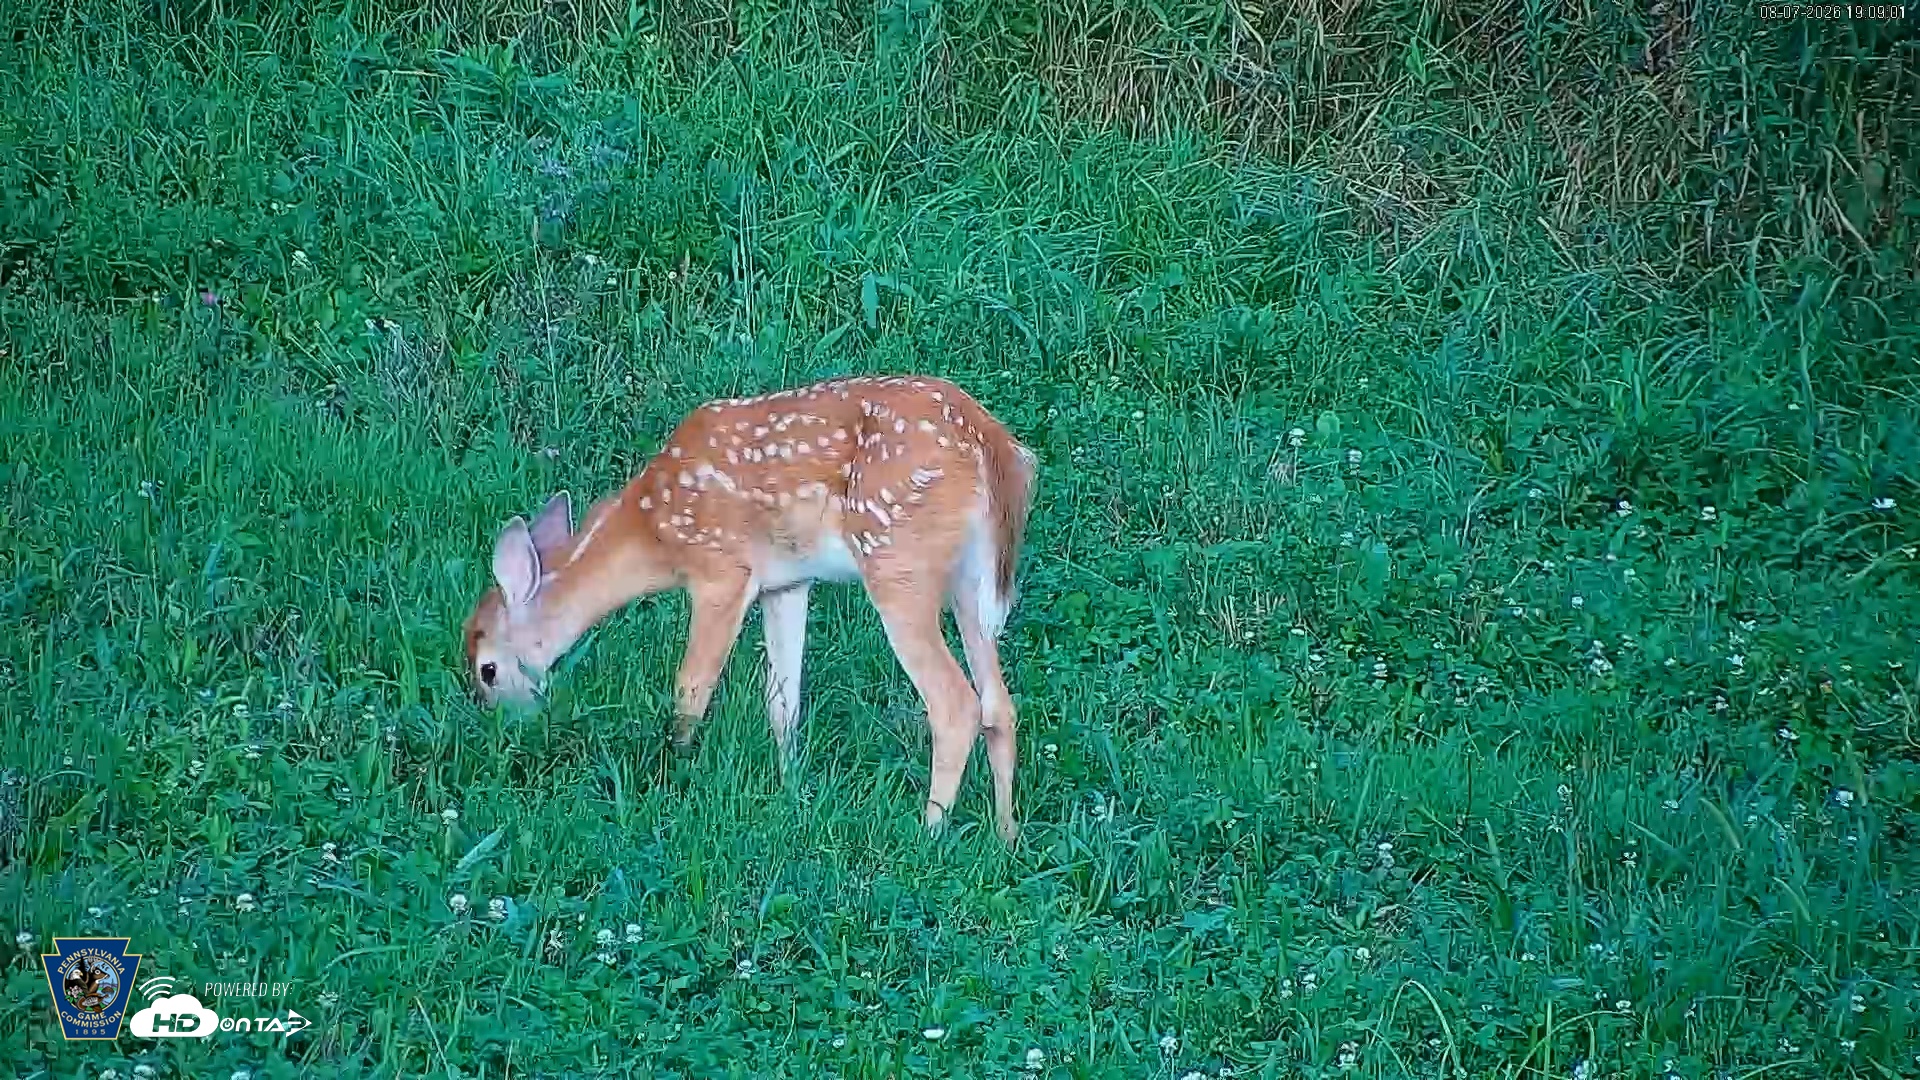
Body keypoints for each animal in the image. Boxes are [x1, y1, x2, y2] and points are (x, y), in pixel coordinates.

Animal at [462, 375, 1038, 843]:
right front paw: (791, 792)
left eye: (487, 670)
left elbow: (690, 689)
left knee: (955, 703)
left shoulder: (721, 571)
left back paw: (929, 831)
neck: (651, 532)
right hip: (970, 578)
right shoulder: (787, 583)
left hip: (898, 561)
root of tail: (992, 443)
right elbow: (782, 702)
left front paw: (677, 773)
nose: (503, 733)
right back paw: (1006, 833)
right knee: (999, 703)